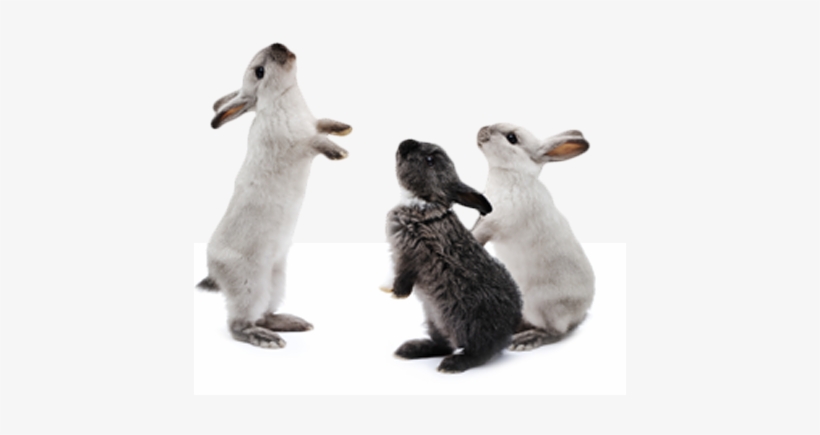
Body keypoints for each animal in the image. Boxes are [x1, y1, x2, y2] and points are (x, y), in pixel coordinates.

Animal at [196, 43, 352, 349]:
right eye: (260, 71)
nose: (280, 46)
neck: (284, 96)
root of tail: (214, 272)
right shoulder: (298, 144)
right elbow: (316, 141)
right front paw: (339, 153)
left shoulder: (313, 123)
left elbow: (324, 123)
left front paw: (344, 128)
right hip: (250, 286)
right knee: (239, 324)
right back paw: (266, 339)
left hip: (276, 281)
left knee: (265, 314)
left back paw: (293, 323)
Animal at [385, 139, 522, 373]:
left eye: (430, 160)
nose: (405, 143)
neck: (425, 203)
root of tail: (509, 328)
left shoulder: (413, 253)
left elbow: (405, 273)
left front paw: (397, 293)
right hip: (435, 319)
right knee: (444, 344)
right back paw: (410, 350)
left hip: (466, 323)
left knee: (477, 352)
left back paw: (452, 364)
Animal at [472, 123, 594, 351]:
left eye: (512, 138)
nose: (482, 130)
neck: (511, 173)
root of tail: (579, 313)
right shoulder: (483, 218)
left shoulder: (496, 223)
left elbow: (479, 235)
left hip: (542, 307)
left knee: (556, 332)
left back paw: (525, 340)